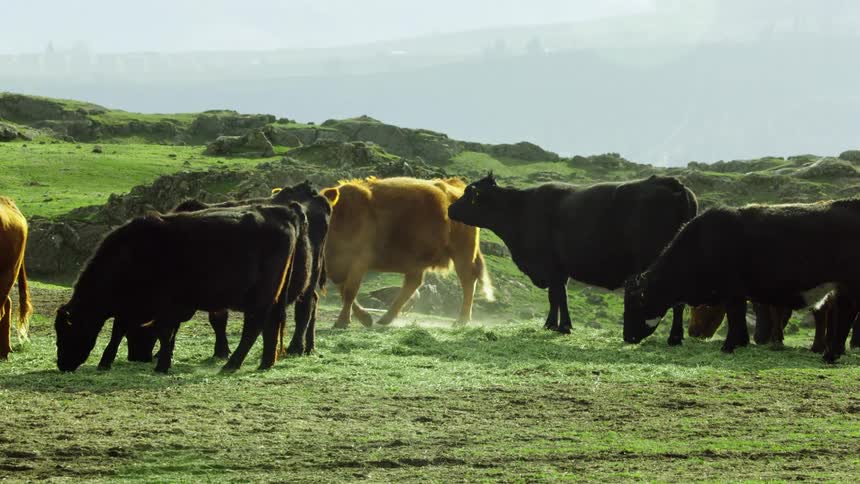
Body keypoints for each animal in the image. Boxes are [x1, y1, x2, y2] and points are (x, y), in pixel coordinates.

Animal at [55, 204, 309, 373]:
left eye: (65, 332)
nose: (62, 364)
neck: (132, 254)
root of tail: (280, 212)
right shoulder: (137, 308)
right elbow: (124, 329)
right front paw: (107, 361)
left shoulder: (166, 305)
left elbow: (162, 331)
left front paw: (161, 365)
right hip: (275, 296)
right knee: (272, 322)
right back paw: (265, 363)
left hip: (259, 297)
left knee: (254, 326)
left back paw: (231, 364)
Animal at [320, 176, 493, 328]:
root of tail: (454, 187)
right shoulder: (335, 265)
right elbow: (344, 291)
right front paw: (364, 318)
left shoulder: (359, 261)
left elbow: (350, 291)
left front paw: (342, 321)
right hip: (418, 259)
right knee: (413, 283)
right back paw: (387, 317)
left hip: (462, 253)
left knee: (468, 281)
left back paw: (461, 320)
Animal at [447, 173, 697, 343]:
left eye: (468, 193)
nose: (449, 209)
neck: (520, 210)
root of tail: (674, 184)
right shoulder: (560, 269)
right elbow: (560, 297)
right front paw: (558, 325)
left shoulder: (551, 266)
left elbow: (555, 296)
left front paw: (556, 326)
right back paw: (676, 337)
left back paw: (674, 337)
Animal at [623, 199, 860, 355]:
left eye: (636, 304)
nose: (627, 337)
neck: (703, 243)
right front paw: (742, 342)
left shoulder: (732, 293)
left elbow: (735, 317)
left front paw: (728, 346)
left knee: (847, 312)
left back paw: (832, 353)